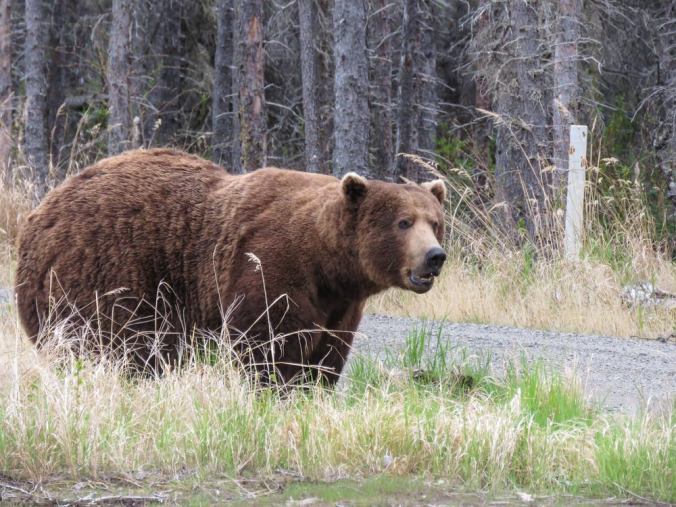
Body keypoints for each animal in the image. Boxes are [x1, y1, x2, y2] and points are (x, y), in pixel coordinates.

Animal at [15, 149, 447, 384]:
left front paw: (311, 387)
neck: (328, 264)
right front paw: (273, 386)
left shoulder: (340, 306)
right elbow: (267, 344)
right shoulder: (269, 267)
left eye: (435, 221)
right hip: (101, 273)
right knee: (114, 340)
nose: (434, 256)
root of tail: (43, 210)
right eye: (403, 222)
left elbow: (327, 356)